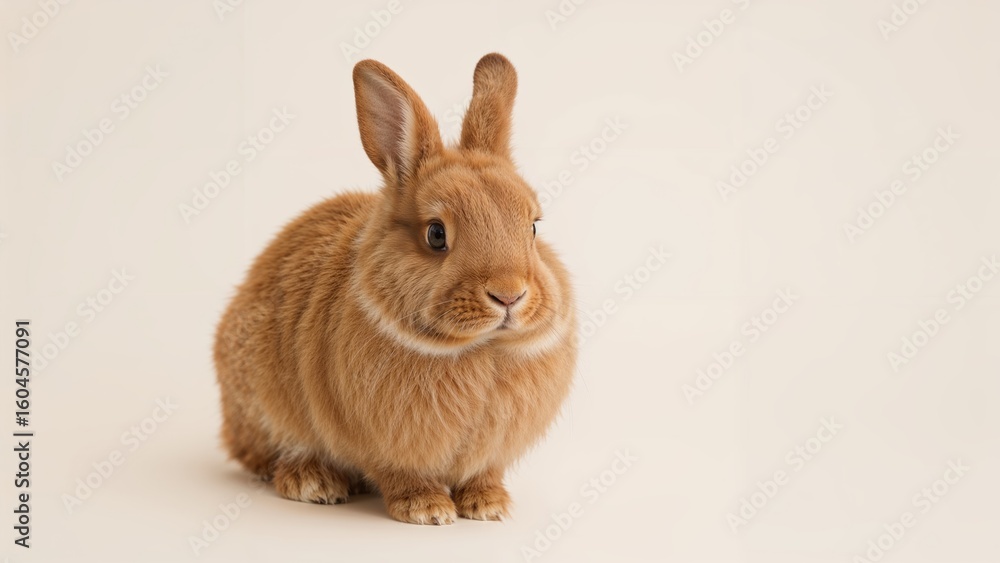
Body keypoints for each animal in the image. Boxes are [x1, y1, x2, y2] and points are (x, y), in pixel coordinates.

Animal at [213, 53, 577, 525]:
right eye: (436, 235)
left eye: (532, 227)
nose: (509, 295)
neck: (480, 348)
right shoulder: (389, 448)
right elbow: (403, 475)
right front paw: (428, 511)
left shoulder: (488, 454)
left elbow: (482, 474)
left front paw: (489, 506)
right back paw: (314, 483)